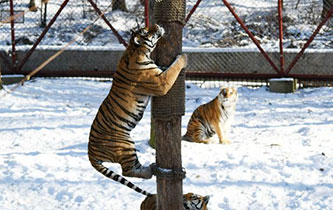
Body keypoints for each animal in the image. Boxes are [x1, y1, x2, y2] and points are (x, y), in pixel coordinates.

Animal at [87, 24, 187, 195]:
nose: (157, 25)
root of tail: (90, 153)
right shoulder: (161, 82)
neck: (135, 50)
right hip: (125, 145)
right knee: (127, 171)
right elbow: (173, 69)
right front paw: (184, 57)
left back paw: (153, 168)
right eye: (147, 32)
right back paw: (152, 170)